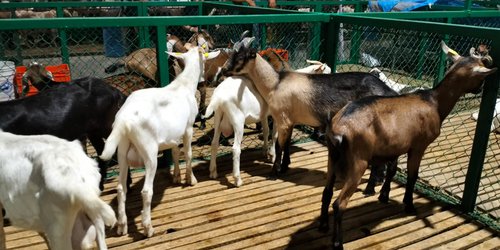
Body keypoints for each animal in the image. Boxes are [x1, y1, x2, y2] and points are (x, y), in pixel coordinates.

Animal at [99, 47, 219, 238]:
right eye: (205, 60)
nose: (203, 80)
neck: (183, 85)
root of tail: (123, 120)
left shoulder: (173, 134)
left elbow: (176, 151)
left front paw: (176, 177)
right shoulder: (188, 128)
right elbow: (188, 153)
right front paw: (190, 179)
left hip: (122, 151)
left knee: (120, 188)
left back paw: (122, 226)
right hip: (148, 151)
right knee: (146, 191)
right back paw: (148, 228)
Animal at [320, 42, 496, 249]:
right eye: (480, 75)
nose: (479, 90)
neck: (434, 102)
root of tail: (339, 129)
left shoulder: (396, 145)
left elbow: (392, 170)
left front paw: (384, 196)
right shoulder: (419, 145)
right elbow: (413, 176)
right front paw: (409, 205)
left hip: (333, 155)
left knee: (327, 191)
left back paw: (323, 226)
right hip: (358, 160)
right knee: (339, 203)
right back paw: (337, 242)